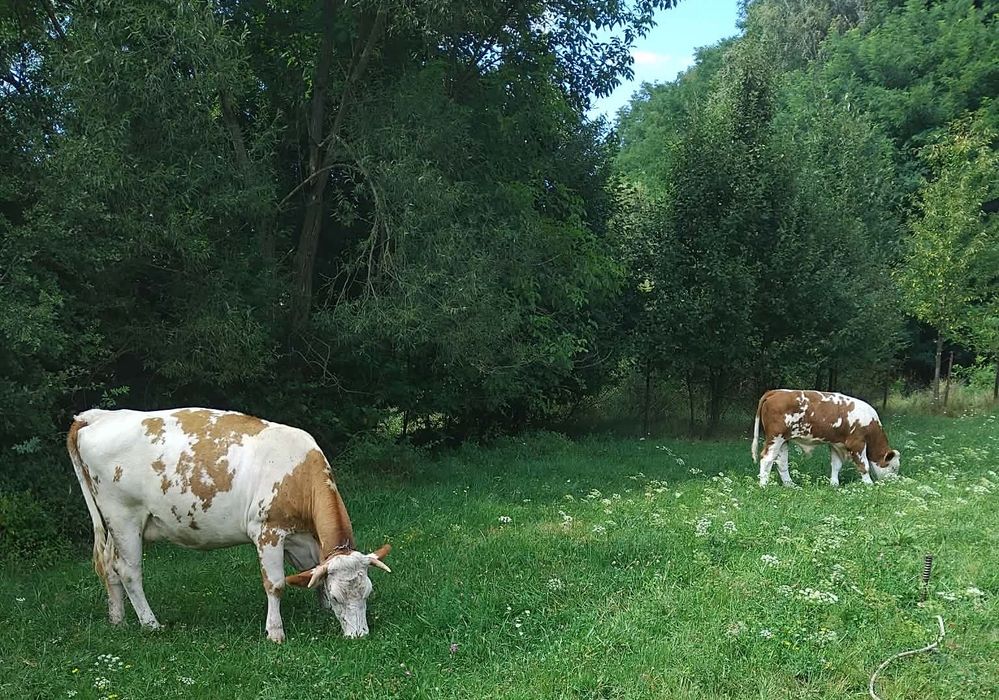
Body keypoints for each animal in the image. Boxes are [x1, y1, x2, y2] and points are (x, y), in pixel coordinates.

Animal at [66, 407, 392, 643]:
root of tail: (97, 416)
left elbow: (313, 571)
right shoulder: (267, 531)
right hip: (124, 517)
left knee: (110, 565)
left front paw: (321, 608)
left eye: (367, 592)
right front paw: (276, 632)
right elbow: (275, 584)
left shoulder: (301, 538)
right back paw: (150, 624)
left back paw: (118, 619)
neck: (297, 472)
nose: (359, 636)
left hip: (114, 524)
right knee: (129, 571)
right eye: (339, 598)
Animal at [751, 390, 900, 488]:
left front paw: (834, 484)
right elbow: (864, 465)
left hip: (783, 440)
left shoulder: (836, 444)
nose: (893, 483)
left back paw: (791, 485)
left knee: (781, 462)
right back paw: (764, 485)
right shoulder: (857, 443)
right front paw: (869, 484)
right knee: (767, 459)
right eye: (893, 468)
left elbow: (836, 465)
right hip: (775, 438)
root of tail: (776, 392)